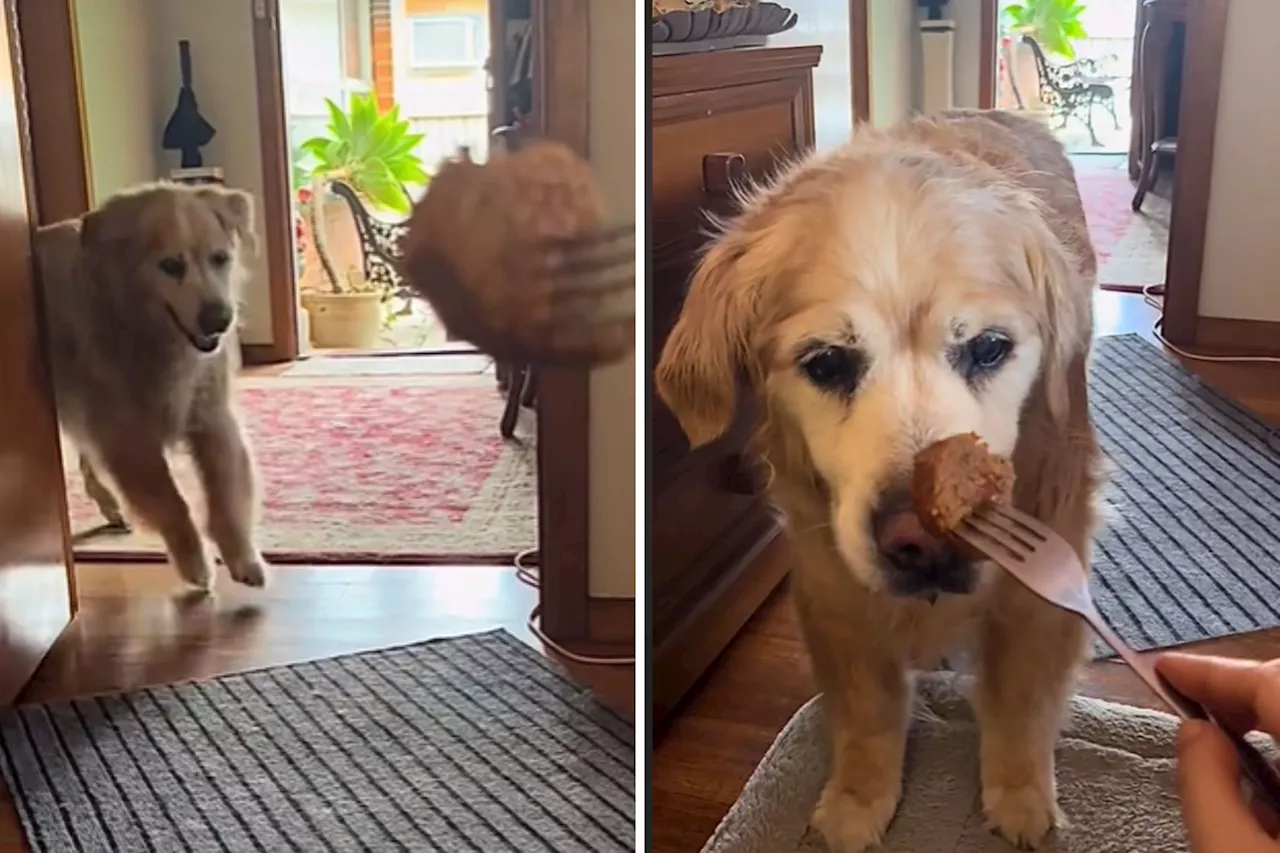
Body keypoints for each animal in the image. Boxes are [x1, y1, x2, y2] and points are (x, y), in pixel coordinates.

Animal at [38, 181, 267, 589]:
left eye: (220, 259)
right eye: (170, 266)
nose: (220, 320)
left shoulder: (213, 418)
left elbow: (226, 493)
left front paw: (242, 557)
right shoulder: (129, 438)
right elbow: (171, 503)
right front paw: (195, 564)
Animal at [655, 109, 1105, 845]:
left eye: (989, 348)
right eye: (827, 362)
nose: (924, 542)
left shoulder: (1042, 574)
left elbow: (1022, 693)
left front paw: (1019, 794)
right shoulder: (832, 579)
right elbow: (865, 708)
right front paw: (859, 799)